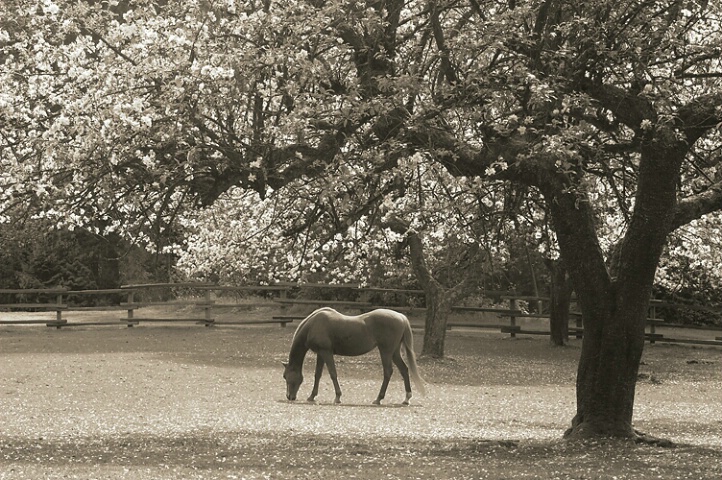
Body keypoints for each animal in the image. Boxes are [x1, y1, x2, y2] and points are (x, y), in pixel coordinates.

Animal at [282, 308, 424, 404]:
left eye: (286, 376)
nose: (289, 396)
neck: (313, 325)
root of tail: (401, 317)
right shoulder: (321, 354)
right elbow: (318, 375)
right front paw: (312, 396)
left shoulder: (326, 352)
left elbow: (333, 374)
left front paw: (338, 397)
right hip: (394, 352)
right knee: (404, 370)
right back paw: (406, 398)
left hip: (386, 351)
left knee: (388, 372)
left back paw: (378, 398)